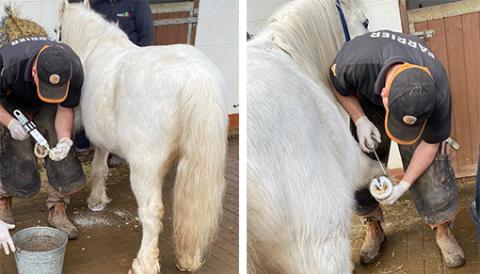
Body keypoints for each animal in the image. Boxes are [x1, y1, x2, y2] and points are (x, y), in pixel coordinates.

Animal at [59, 1, 228, 272]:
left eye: (59, 31)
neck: (95, 45)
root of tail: (197, 76)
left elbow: (97, 167)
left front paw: (95, 200)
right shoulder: (104, 140)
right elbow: (100, 167)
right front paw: (98, 200)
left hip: (144, 168)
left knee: (151, 212)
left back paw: (144, 263)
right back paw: (188, 258)